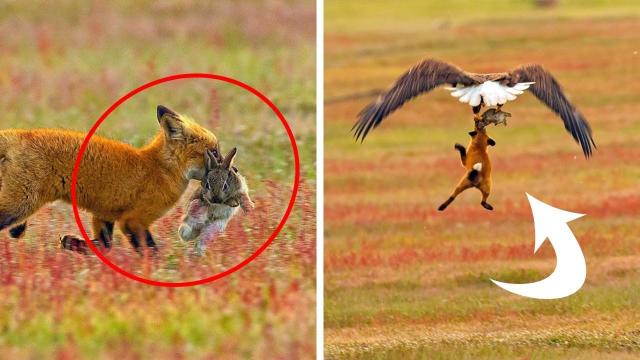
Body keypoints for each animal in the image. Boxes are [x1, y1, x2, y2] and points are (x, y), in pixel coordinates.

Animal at [0, 105, 219, 255]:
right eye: (214, 152)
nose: (228, 169)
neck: (160, 169)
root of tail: (18, 134)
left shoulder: (105, 214)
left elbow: (104, 246)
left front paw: (72, 243)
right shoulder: (133, 221)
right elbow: (150, 252)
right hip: (18, 206)